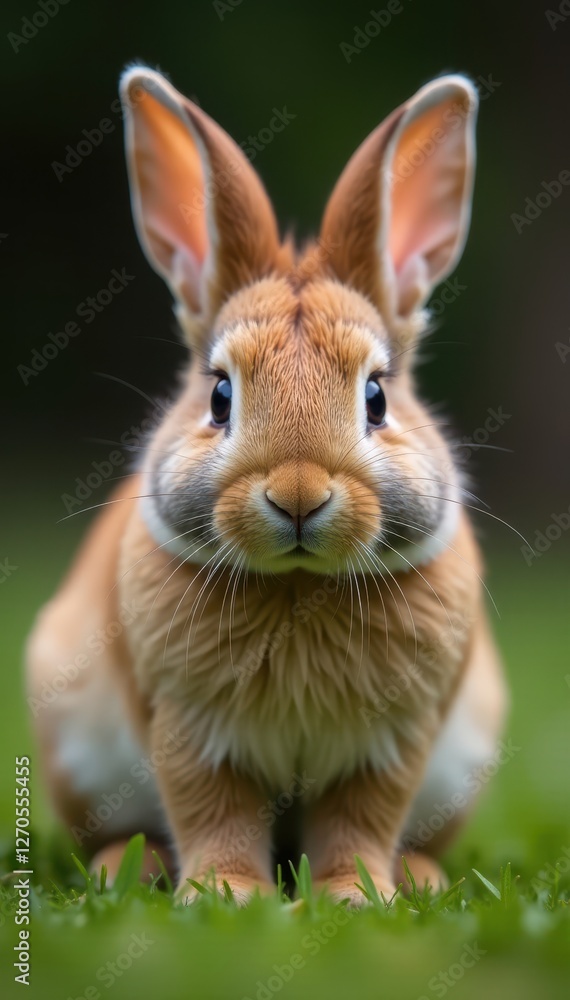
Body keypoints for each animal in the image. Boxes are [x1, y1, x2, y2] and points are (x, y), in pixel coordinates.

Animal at [26, 66, 507, 905]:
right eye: (221, 395)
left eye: (376, 397)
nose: (298, 495)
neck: (297, 584)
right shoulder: (190, 731)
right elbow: (215, 814)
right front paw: (228, 897)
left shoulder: (392, 746)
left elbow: (359, 824)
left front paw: (356, 897)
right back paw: (129, 868)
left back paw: (419, 878)